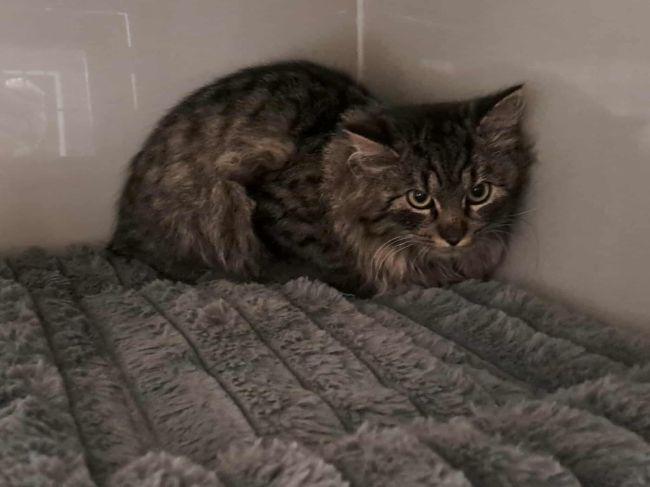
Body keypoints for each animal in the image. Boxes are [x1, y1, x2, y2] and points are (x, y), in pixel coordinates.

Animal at [110, 60, 533, 294]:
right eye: (419, 199)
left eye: (478, 192)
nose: (454, 235)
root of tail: (120, 237)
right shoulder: (272, 210)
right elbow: (335, 267)